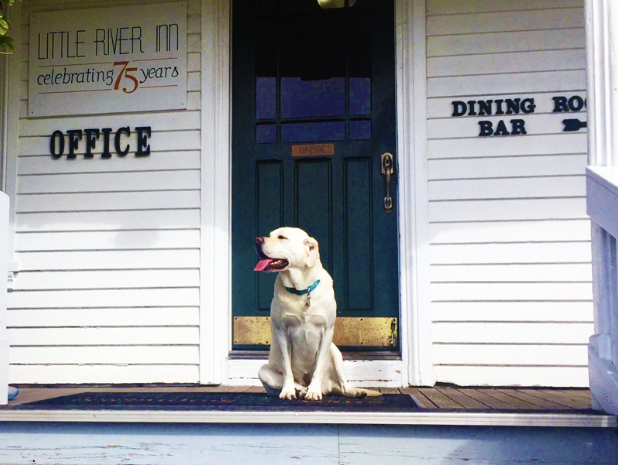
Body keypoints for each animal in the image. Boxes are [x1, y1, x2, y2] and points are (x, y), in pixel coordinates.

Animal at [253, 228, 378, 402]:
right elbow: (287, 369)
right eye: (270, 235)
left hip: (335, 351)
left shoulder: (327, 332)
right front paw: (287, 391)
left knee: (342, 386)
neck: (301, 290)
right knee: (298, 385)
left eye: (282, 237)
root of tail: (328, 387)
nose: (257, 240)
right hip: (263, 371)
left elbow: (319, 368)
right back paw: (302, 390)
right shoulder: (282, 333)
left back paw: (352, 391)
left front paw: (313, 391)